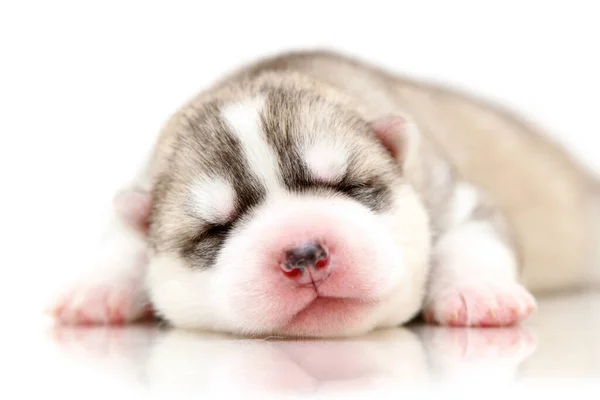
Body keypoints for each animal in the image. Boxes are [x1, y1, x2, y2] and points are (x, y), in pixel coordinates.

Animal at [48, 50, 600, 338]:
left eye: (347, 186)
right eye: (216, 229)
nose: (305, 253)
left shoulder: (449, 190)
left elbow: (474, 233)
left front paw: (479, 293)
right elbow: (123, 235)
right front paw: (96, 289)